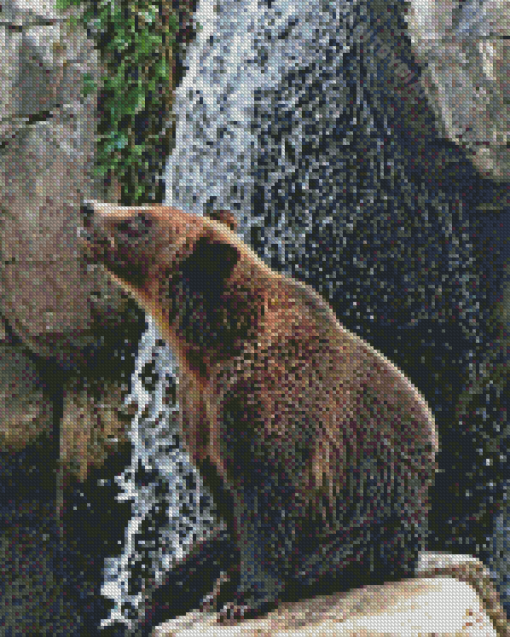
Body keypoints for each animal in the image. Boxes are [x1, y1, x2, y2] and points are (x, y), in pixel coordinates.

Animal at [79, 202, 438, 620]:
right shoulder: (201, 407)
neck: (210, 346)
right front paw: (225, 583)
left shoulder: (272, 399)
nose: (88, 209)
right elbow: (227, 501)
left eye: (140, 219)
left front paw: (244, 597)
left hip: (376, 510)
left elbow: (267, 495)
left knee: (338, 554)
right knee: (187, 566)